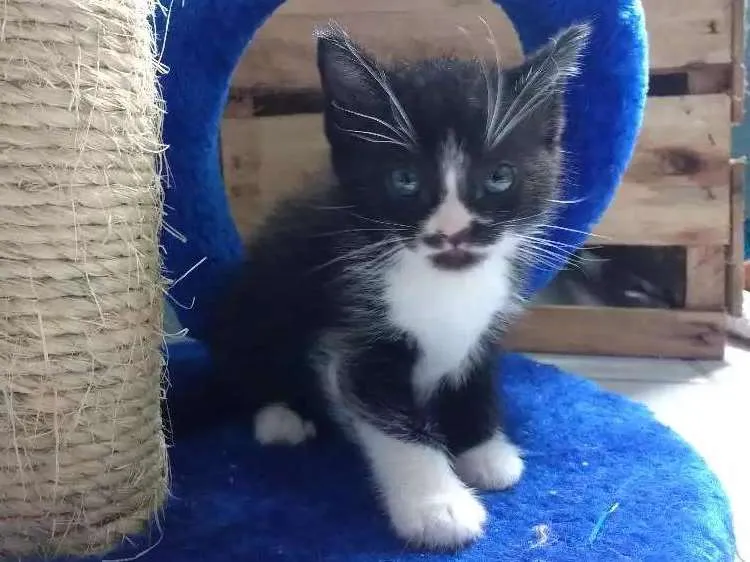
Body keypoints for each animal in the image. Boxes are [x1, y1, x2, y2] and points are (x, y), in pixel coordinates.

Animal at [205, 22, 590, 549]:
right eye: (404, 179)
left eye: (499, 177)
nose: (453, 232)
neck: (443, 286)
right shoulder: (356, 339)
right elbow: (391, 419)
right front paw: (438, 507)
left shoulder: (487, 322)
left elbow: (474, 378)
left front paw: (483, 449)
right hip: (251, 305)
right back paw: (279, 417)